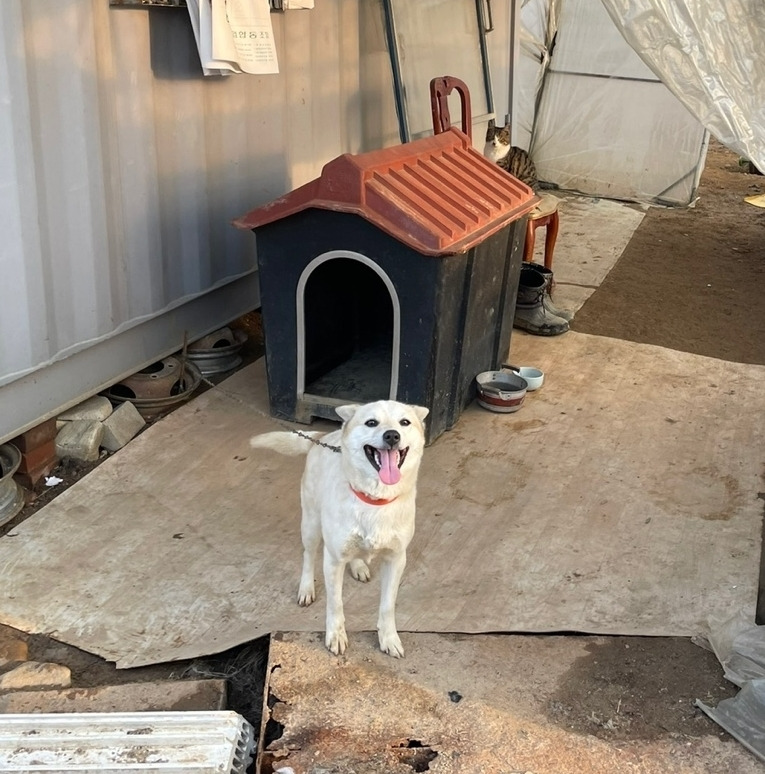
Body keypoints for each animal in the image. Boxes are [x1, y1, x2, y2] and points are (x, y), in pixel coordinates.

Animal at [250, 400, 429, 657]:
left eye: (404, 422)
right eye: (371, 422)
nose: (392, 435)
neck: (374, 499)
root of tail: (323, 437)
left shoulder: (396, 559)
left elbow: (387, 605)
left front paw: (389, 638)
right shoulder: (333, 560)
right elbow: (336, 603)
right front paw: (336, 636)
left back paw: (358, 566)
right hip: (311, 524)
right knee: (308, 556)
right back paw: (306, 588)